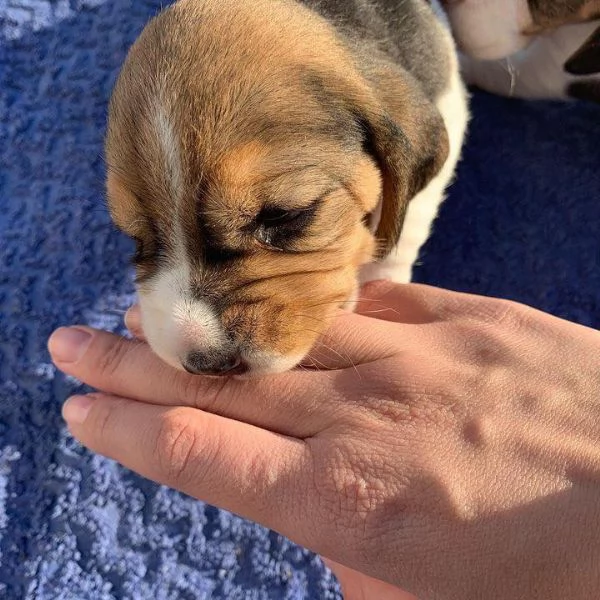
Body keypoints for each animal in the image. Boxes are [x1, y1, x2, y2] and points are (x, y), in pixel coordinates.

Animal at [104, 0, 468, 376]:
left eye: (284, 215)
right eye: (134, 238)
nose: (205, 363)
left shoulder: (449, 100)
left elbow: (406, 228)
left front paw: (382, 278)